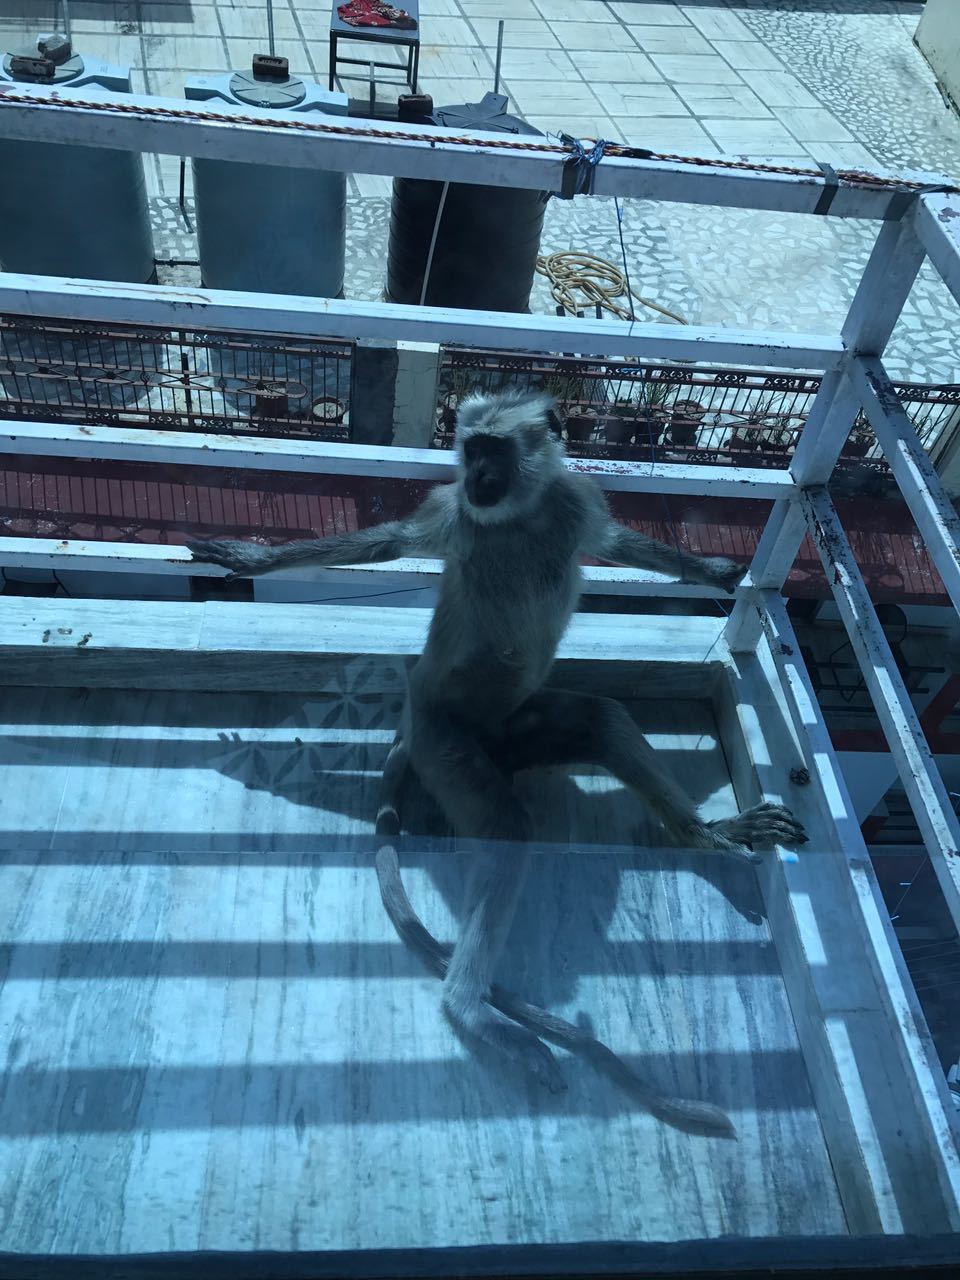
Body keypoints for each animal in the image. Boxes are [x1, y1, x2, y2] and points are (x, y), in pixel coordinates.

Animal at [188, 386, 803, 1131]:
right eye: (470, 450)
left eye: (494, 452)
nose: (478, 475)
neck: (518, 518)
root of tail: (417, 723)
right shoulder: (450, 514)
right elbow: (382, 542)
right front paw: (248, 559)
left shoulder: (574, 502)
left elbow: (618, 543)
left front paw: (714, 569)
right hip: (447, 747)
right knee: (509, 825)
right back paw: (470, 1011)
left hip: (515, 732)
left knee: (601, 719)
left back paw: (704, 836)